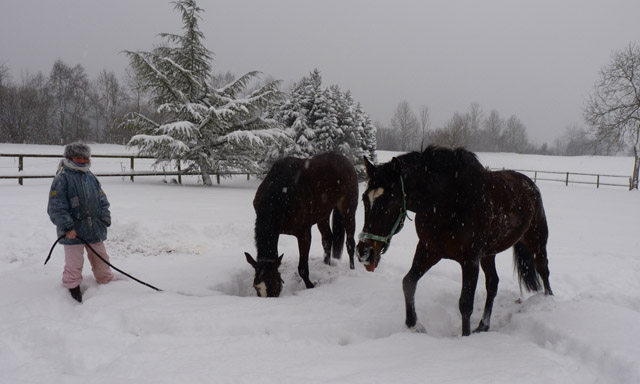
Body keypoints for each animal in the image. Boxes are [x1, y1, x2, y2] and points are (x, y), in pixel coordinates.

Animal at [245, 152, 360, 298]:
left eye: (275, 283)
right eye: (256, 287)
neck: (282, 190)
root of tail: (345, 159)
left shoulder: (304, 233)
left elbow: (303, 268)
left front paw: (310, 286)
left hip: (348, 209)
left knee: (350, 242)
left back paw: (352, 269)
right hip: (323, 214)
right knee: (327, 239)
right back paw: (326, 265)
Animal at [358, 147, 552, 336]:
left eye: (391, 200)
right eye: (364, 198)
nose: (364, 252)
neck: (449, 200)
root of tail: (531, 184)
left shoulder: (470, 260)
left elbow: (465, 304)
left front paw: (465, 337)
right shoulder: (429, 250)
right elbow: (408, 282)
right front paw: (414, 325)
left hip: (537, 242)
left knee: (543, 270)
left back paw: (548, 300)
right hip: (488, 254)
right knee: (492, 283)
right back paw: (483, 326)